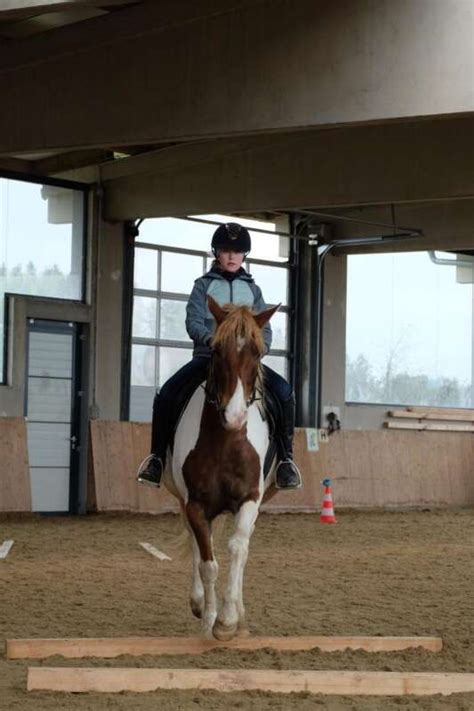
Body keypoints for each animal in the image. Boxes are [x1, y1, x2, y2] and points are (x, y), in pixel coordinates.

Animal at [164, 294, 280, 640]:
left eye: (258, 353)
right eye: (215, 350)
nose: (235, 416)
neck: (226, 440)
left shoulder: (250, 499)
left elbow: (238, 549)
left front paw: (229, 621)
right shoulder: (195, 504)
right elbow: (207, 562)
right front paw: (209, 621)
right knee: (195, 543)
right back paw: (200, 604)